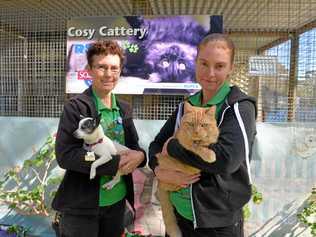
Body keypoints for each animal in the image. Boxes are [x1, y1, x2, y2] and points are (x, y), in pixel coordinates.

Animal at [156, 102, 220, 237]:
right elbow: (197, 147)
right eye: (191, 124)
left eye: (203, 125)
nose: (196, 132)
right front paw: (209, 154)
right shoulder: (184, 142)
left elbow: (206, 141)